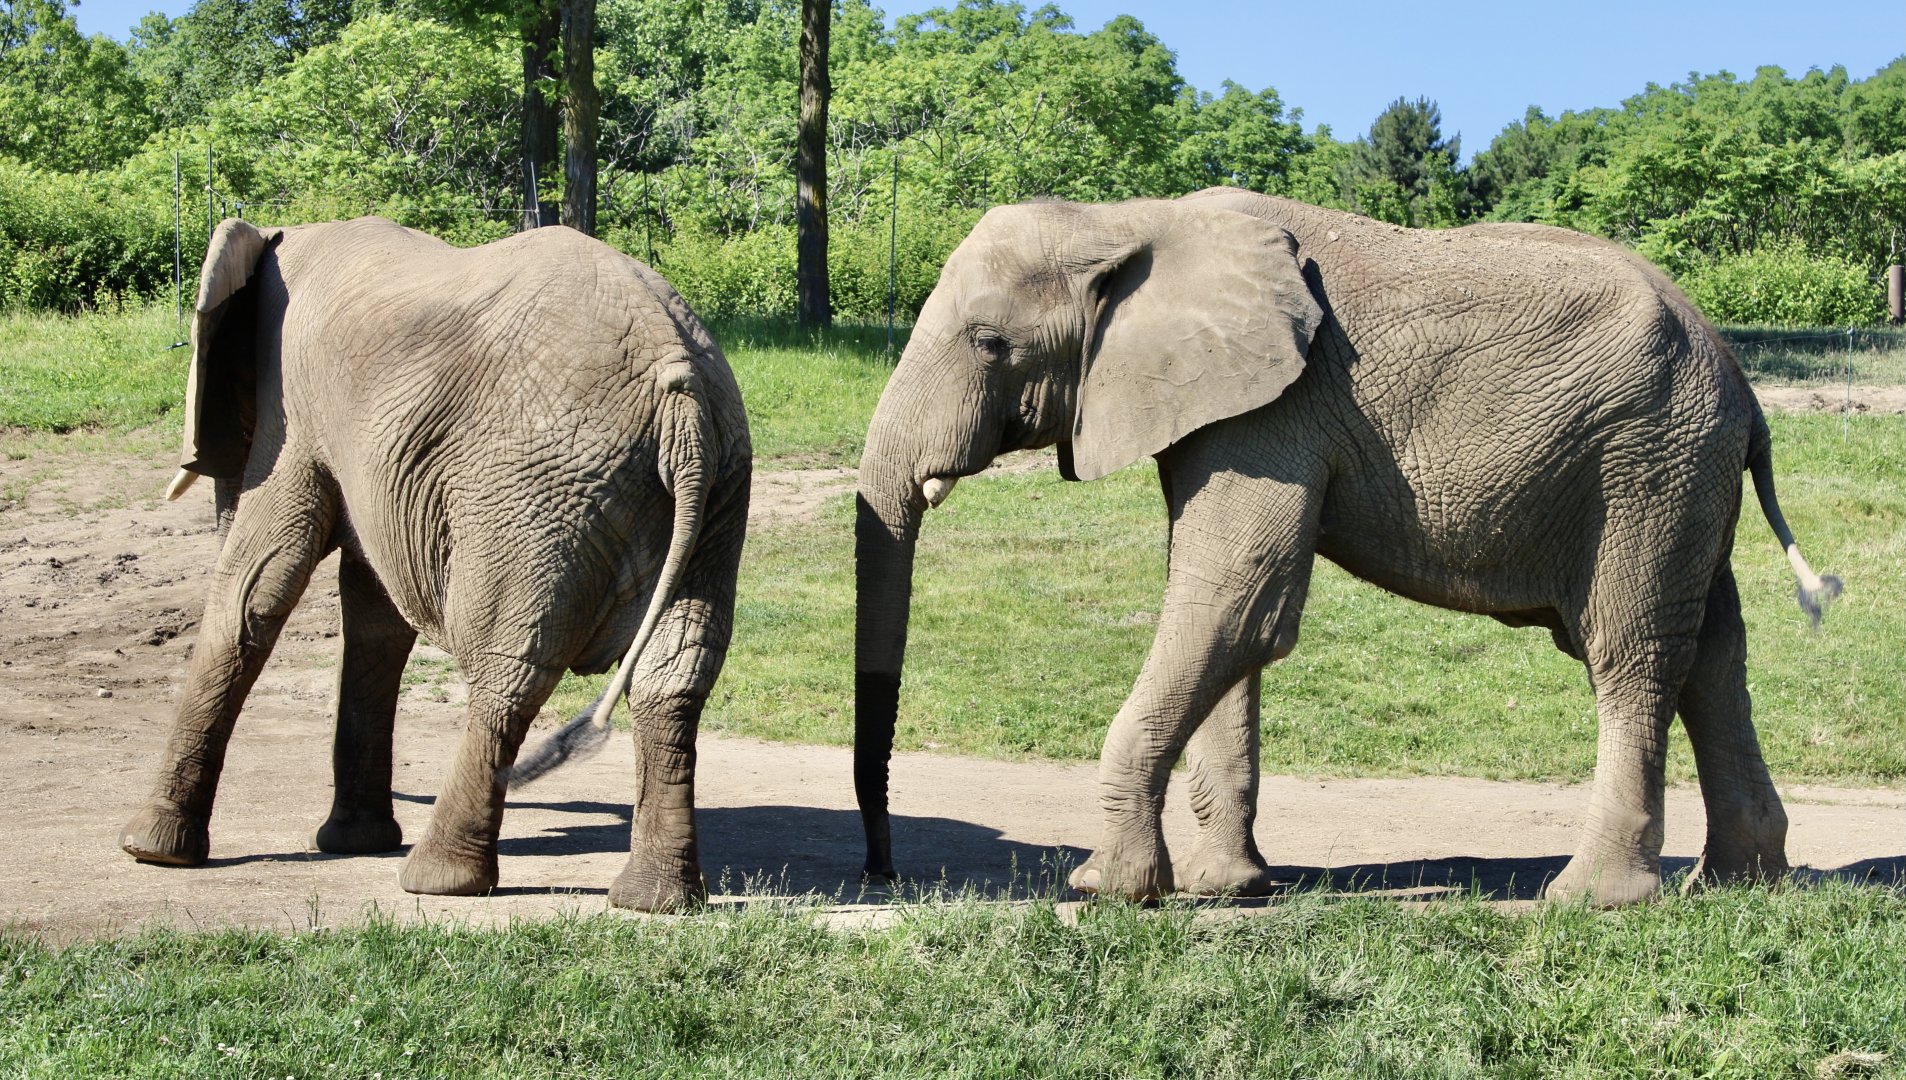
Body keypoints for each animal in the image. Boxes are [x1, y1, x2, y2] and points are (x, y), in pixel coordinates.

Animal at [117, 216, 750, 912]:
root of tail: (681, 397)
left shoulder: (293, 413)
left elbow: (254, 588)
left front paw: (150, 851)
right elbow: (375, 618)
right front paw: (352, 842)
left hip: (536, 496)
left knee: (508, 667)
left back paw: (438, 880)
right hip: (717, 492)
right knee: (675, 676)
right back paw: (655, 900)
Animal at [852, 188, 1841, 907]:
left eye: (989, 342)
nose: (885, 872)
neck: (1130, 218)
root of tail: (1746, 391)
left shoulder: (1276, 412)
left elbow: (1233, 602)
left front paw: (1106, 889)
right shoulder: (1224, 410)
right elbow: (1225, 612)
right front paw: (1225, 889)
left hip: (1647, 462)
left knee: (1630, 652)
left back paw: (1593, 900)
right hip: (1680, 473)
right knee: (1713, 652)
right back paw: (1742, 882)